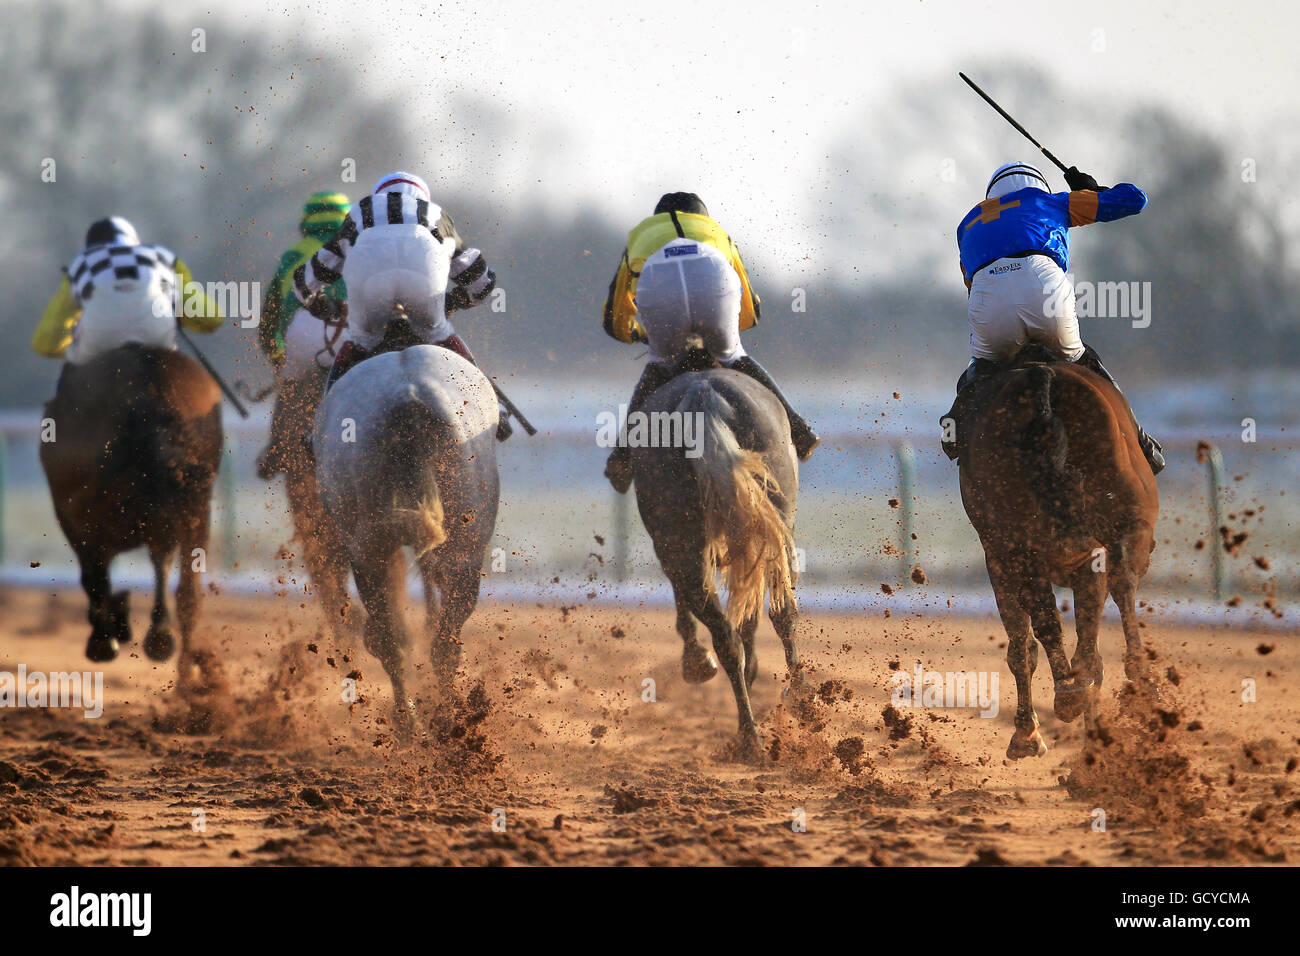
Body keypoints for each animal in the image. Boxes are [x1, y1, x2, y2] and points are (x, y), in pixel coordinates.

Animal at [961, 348, 1164, 759]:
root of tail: (1043, 381)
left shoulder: (1002, 558)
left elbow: (1024, 645)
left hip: (1023, 549)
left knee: (1050, 623)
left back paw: (1071, 694)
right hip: (1117, 528)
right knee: (1119, 588)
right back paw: (1122, 687)